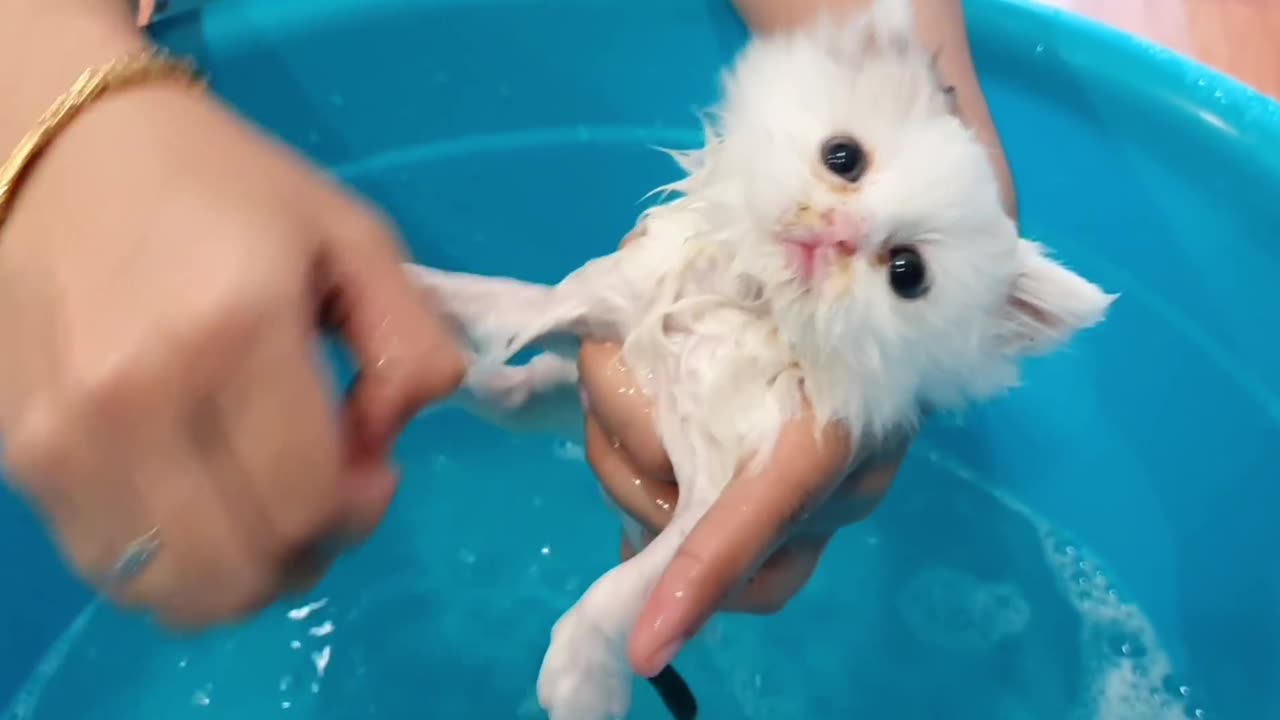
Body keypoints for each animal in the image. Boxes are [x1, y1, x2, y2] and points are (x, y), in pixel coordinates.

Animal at [407, 2, 1111, 712]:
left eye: (907, 273)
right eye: (842, 158)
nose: (838, 233)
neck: (747, 305)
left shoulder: (710, 505)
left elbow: (628, 592)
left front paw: (582, 680)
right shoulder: (600, 310)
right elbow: (498, 297)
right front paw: (402, 287)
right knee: (518, 390)